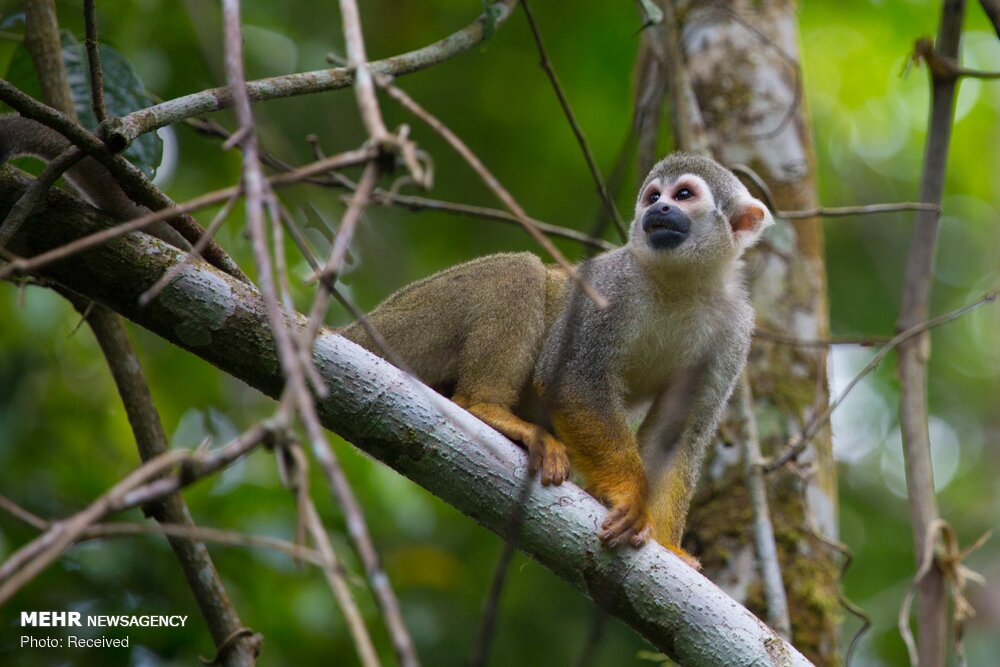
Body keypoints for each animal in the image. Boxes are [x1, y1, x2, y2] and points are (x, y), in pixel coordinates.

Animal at [344, 154, 772, 568]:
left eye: (683, 194)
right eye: (653, 196)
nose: (660, 208)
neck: (681, 283)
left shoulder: (734, 331)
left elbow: (675, 434)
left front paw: (668, 547)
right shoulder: (612, 284)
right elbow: (568, 379)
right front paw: (629, 496)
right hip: (412, 322)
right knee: (519, 271)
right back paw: (486, 408)